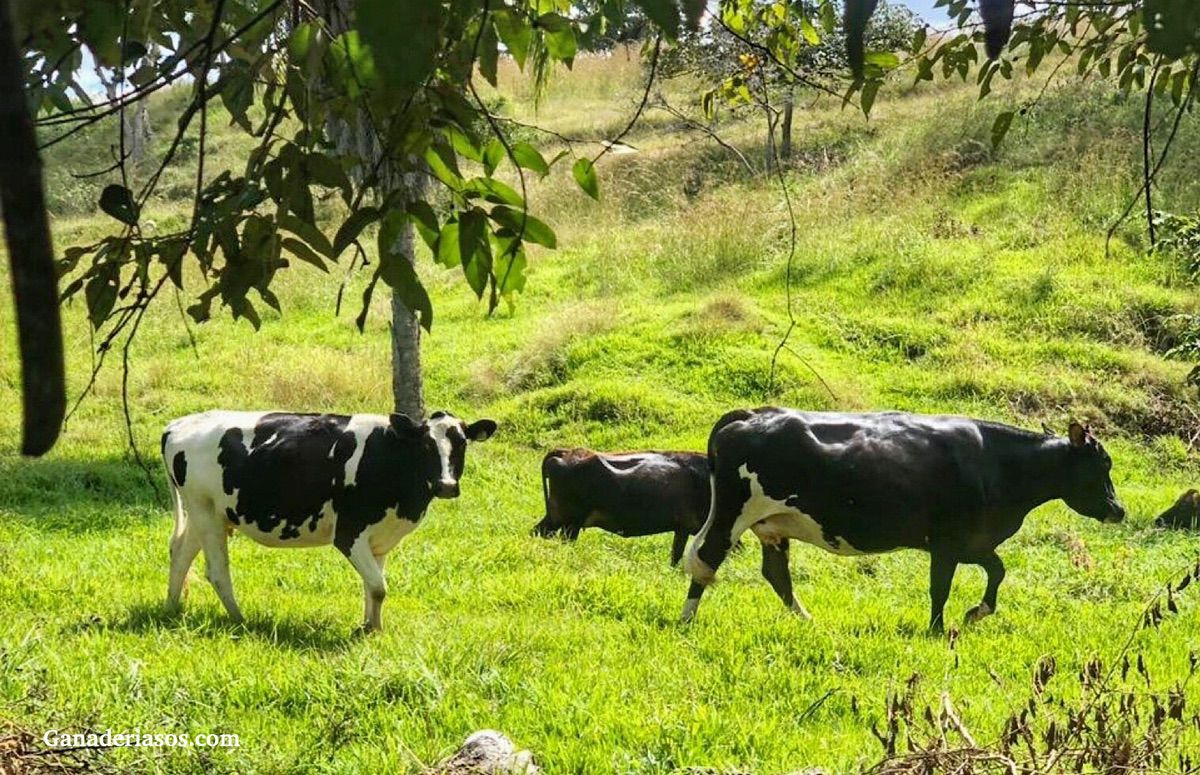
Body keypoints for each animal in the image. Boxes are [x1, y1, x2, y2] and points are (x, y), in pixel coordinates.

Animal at [162, 410, 494, 633]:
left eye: (462, 444)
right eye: (426, 446)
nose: (446, 486)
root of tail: (177, 424)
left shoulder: (380, 539)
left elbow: (372, 585)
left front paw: (371, 627)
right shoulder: (349, 534)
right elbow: (378, 586)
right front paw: (371, 629)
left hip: (206, 513)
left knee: (180, 554)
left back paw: (171, 609)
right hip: (205, 513)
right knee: (217, 571)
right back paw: (240, 621)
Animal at [686, 410, 1123, 633]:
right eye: (1102, 464)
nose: (1119, 509)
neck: (997, 463)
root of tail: (753, 414)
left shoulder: (973, 542)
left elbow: (997, 571)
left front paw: (975, 613)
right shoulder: (947, 543)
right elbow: (940, 588)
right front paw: (938, 629)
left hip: (772, 524)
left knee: (776, 573)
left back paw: (807, 620)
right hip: (733, 513)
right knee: (707, 558)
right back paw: (687, 619)